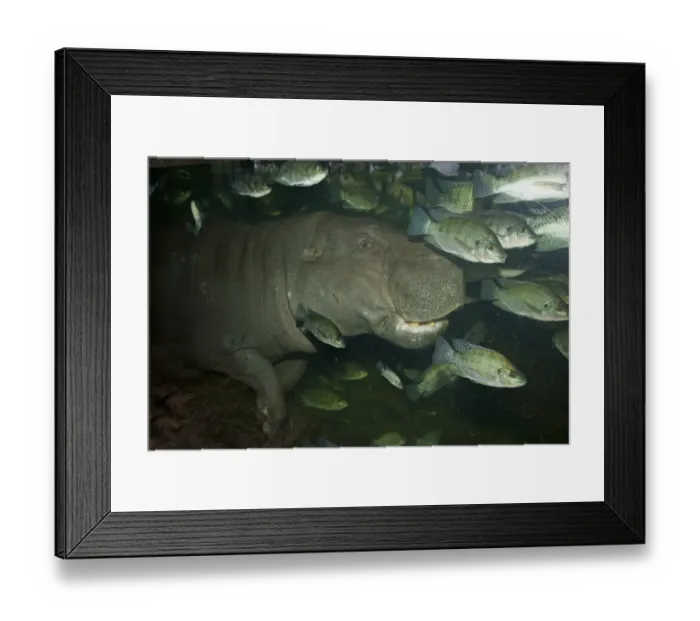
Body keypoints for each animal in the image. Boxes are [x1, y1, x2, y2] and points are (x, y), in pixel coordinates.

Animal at [149, 211, 466, 436]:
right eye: (364, 243)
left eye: (402, 228)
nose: (451, 270)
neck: (281, 263)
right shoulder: (228, 348)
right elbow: (263, 373)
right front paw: (269, 424)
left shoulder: (295, 349)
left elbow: (285, 381)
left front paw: (263, 414)